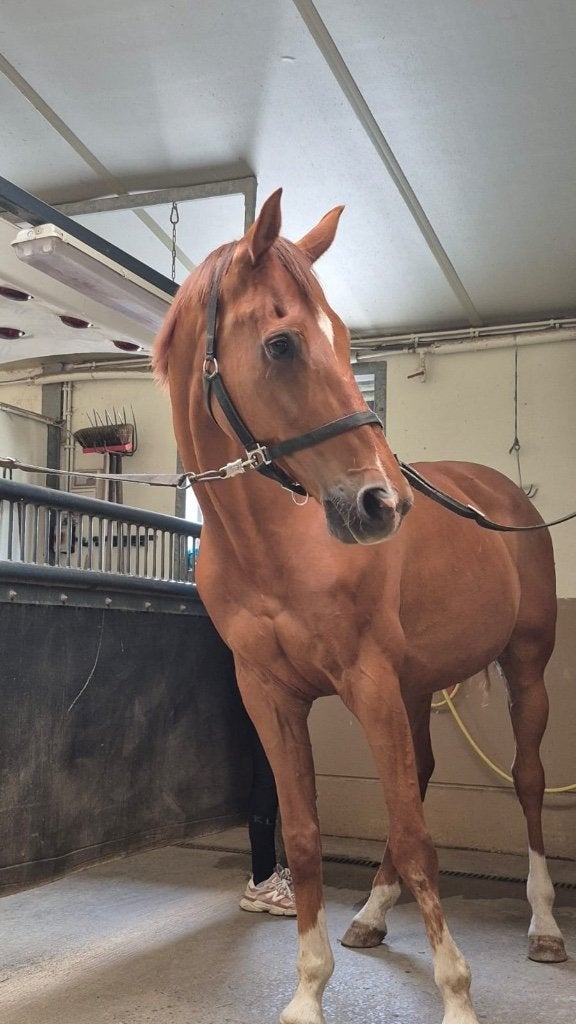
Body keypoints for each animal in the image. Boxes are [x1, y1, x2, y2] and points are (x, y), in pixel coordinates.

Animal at [152, 189, 566, 1024]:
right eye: (281, 345)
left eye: (345, 342)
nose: (384, 504)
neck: (275, 548)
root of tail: (504, 497)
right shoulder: (272, 696)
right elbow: (308, 835)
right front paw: (308, 991)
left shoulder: (368, 681)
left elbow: (417, 836)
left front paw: (457, 995)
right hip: (414, 688)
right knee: (428, 772)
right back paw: (373, 913)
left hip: (525, 669)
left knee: (529, 781)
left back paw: (543, 925)